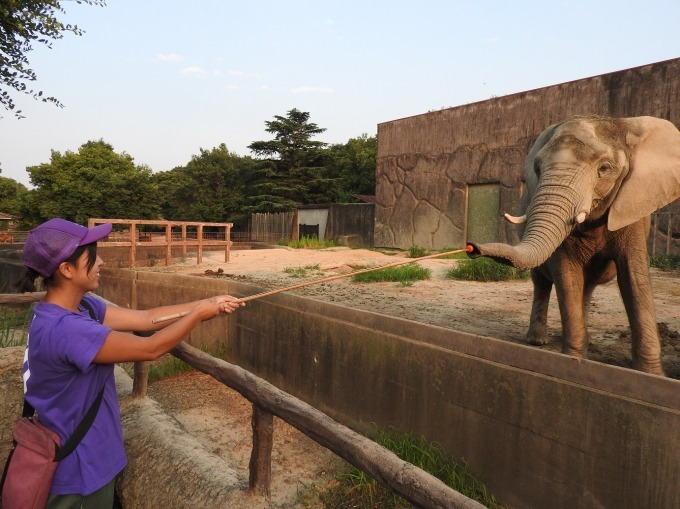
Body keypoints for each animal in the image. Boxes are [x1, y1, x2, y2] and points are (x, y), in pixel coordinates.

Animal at [468, 116, 680, 378]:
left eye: (605, 168)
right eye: (537, 169)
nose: (472, 247)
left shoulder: (633, 207)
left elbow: (634, 278)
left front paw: (652, 375)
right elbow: (567, 275)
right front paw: (572, 361)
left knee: (586, 287)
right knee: (542, 283)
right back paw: (537, 341)